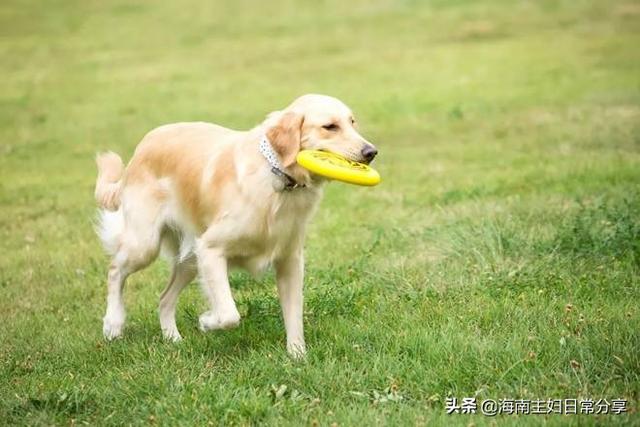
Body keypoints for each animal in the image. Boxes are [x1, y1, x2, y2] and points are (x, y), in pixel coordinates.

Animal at [94, 93, 376, 358]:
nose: (371, 152)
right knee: (115, 270)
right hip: (146, 245)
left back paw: (173, 339)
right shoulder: (211, 249)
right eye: (330, 127)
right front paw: (207, 321)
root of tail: (142, 146)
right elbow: (230, 314)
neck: (278, 179)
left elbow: (294, 314)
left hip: (190, 259)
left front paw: (297, 356)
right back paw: (113, 324)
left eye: (352, 122)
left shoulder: (290, 261)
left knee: (163, 299)